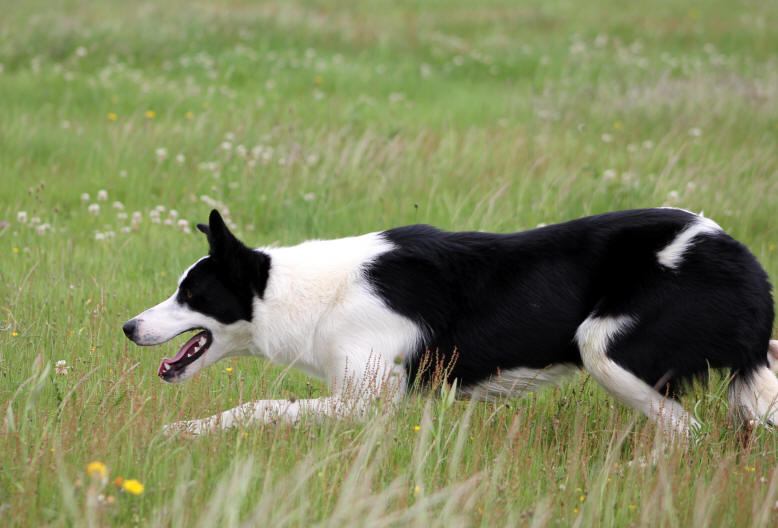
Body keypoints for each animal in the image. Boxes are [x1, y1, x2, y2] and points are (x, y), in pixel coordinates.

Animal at [123, 208, 776, 436]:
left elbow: (257, 408)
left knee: (688, 433)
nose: (129, 328)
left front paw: (185, 432)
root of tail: (745, 264)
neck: (301, 294)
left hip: (604, 349)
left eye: (189, 294)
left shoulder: (367, 401)